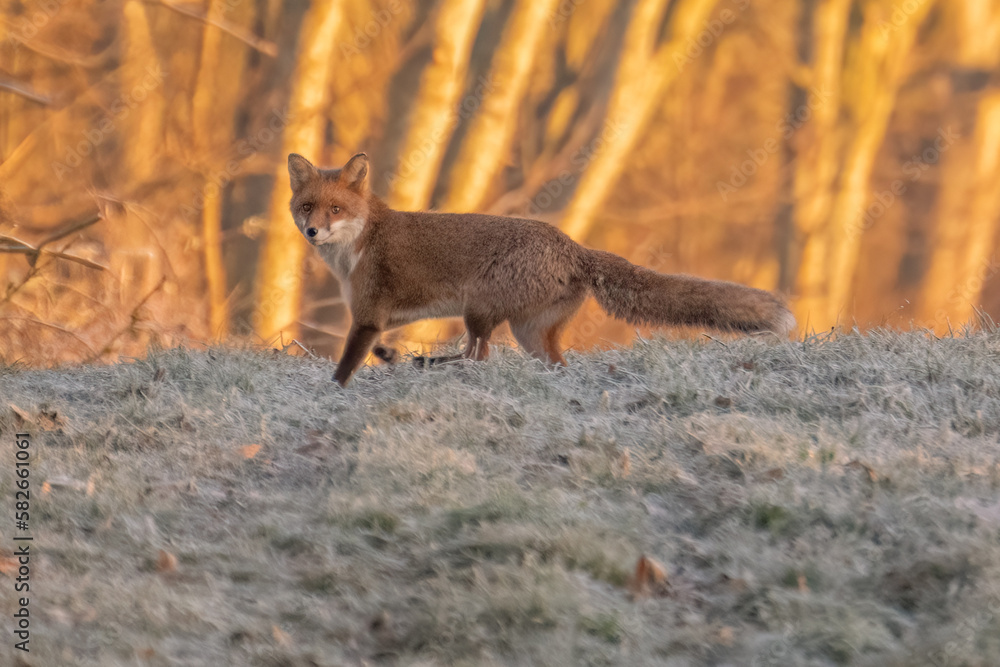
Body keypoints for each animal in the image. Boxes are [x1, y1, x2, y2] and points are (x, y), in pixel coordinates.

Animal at [287, 152, 795, 386]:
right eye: (307, 206)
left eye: (336, 209)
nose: (312, 232)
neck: (358, 247)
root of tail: (574, 246)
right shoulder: (379, 318)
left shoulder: (368, 317)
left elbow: (344, 368)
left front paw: (334, 391)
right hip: (528, 331)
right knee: (541, 363)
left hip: (481, 309)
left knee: (479, 356)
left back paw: (430, 364)